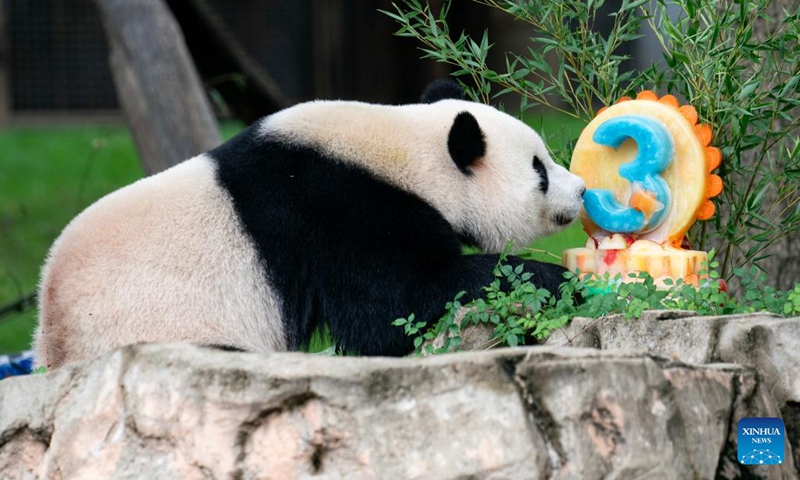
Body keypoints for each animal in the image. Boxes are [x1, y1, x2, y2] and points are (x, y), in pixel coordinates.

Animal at [34, 81, 584, 368]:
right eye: (539, 169)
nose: (580, 191)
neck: (405, 149)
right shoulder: (339, 211)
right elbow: (394, 308)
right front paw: (556, 279)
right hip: (152, 326)